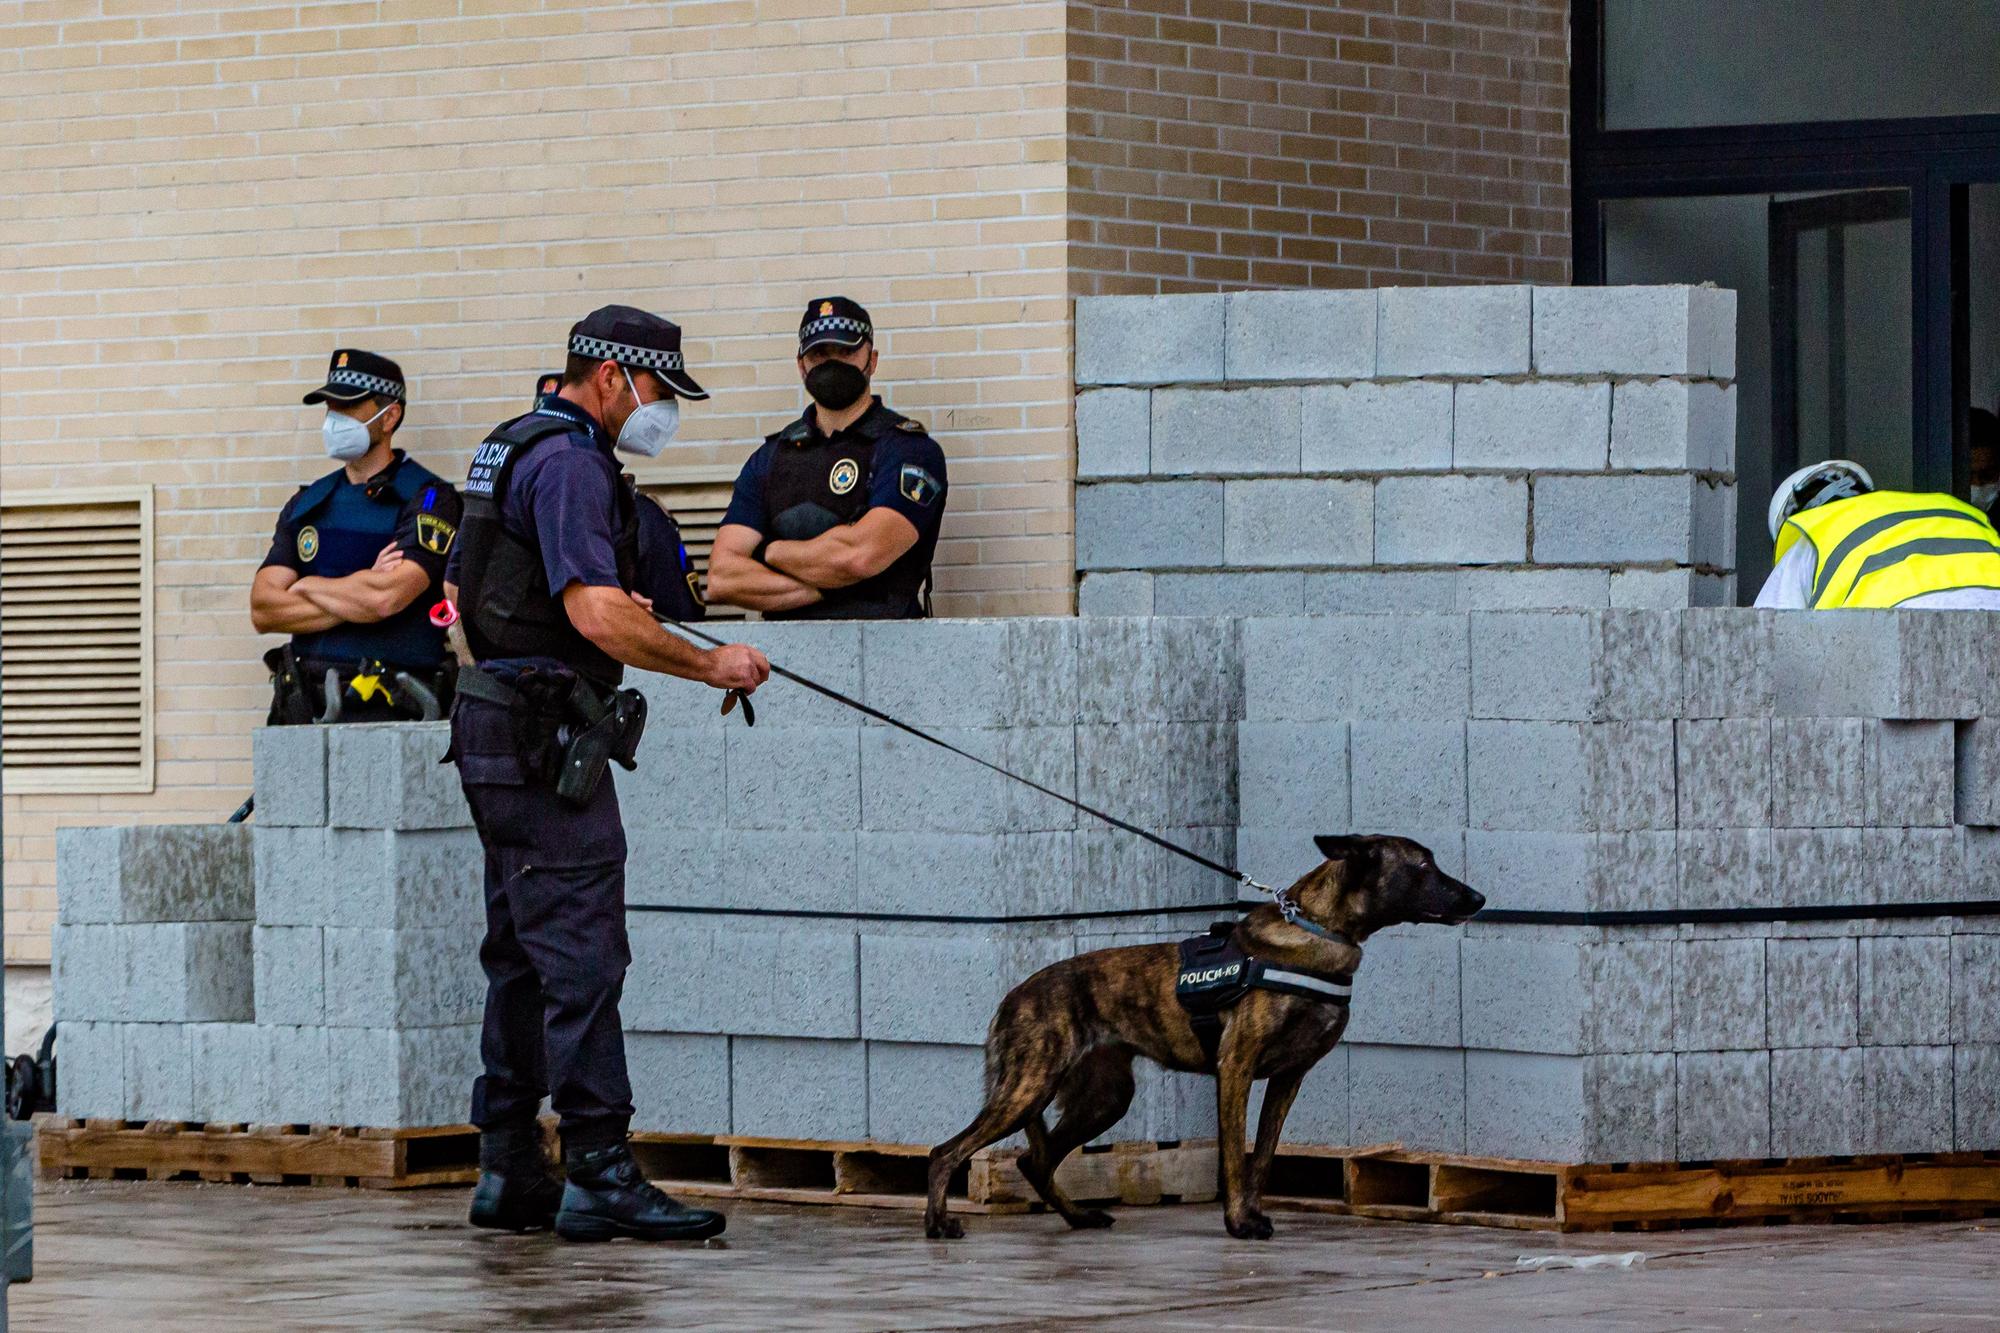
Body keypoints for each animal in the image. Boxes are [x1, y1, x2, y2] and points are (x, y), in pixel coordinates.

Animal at [928, 832, 1480, 1232]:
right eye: (1423, 866)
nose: (1479, 898)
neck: (1318, 930)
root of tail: (1014, 995)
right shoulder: (1235, 1067)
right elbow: (1235, 1154)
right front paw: (1239, 1223)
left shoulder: (1288, 1079)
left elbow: (1263, 1158)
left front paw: (1252, 1213)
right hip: (1031, 1088)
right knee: (947, 1152)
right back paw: (939, 1226)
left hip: (1104, 1098)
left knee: (1034, 1162)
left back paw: (1079, 1217)